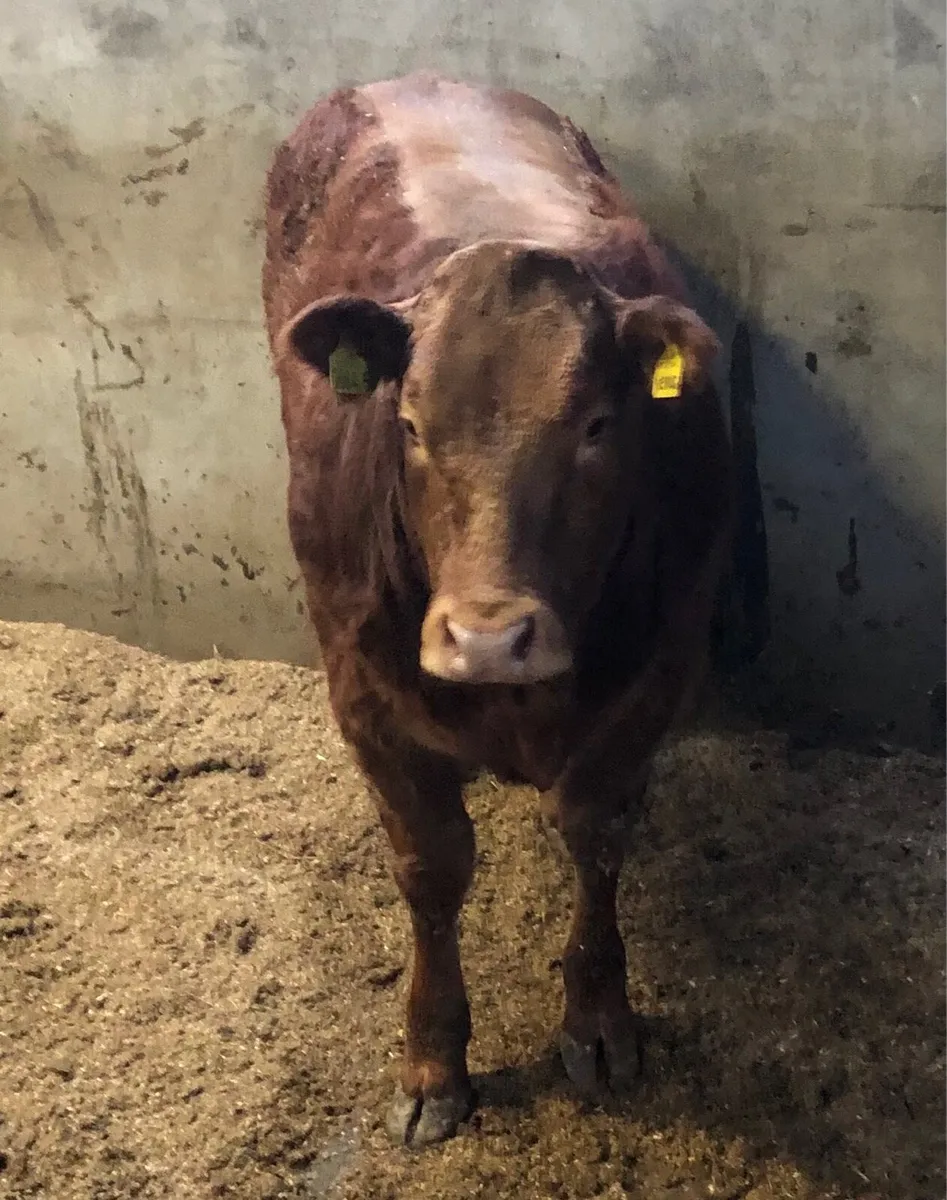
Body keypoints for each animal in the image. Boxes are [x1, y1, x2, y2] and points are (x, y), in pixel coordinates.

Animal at [262, 72, 733, 1148]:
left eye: (597, 425)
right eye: (404, 424)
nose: (487, 640)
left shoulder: (658, 671)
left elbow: (594, 831)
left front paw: (597, 1020)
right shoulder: (363, 698)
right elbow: (433, 868)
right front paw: (432, 1061)